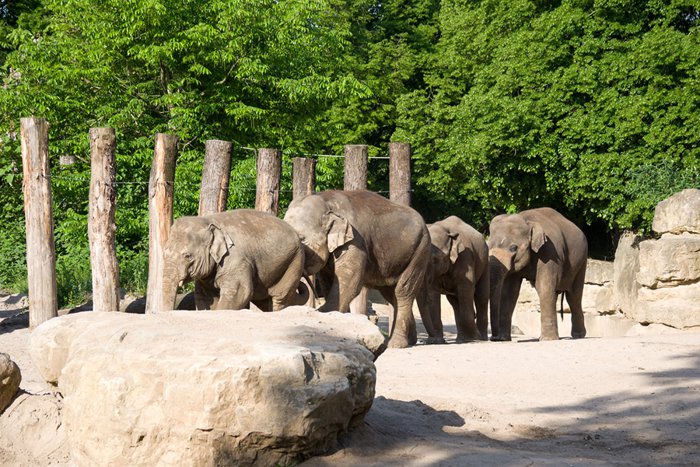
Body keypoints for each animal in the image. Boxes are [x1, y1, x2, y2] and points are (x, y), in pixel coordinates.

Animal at [160, 209, 308, 312]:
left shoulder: (235, 259)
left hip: (294, 261)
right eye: (164, 252)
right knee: (264, 300)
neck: (208, 220)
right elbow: (206, 297)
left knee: (280, 298)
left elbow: (239, 293)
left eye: (187, 256)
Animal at [283, 190, 431, 349]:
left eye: (302, 238)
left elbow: (348, 280)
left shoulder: (355, 240)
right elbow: (328, 281)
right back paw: (410, 341)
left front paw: (325, 314)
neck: (326, 201)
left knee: (403, 292)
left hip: (419, 251)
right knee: (392, 295)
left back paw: (396, 344)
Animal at [488, 207, 587, 341]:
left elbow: (544, 286)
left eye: (513, 248)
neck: (527, 220)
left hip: (581, 262)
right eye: (488, 246)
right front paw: (503, 339)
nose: (493, 338)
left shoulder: (549, 252)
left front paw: (548, 340)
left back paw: (578, 335)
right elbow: (509, 292)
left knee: (573, 296)